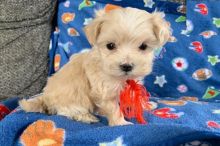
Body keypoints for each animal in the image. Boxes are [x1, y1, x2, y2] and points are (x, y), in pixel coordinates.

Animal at [19, 7, 172, 125]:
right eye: (110, 46)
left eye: (143, 46)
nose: (126, 66)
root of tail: (45, 98)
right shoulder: (104, 90)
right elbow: (114, 109)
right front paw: (121, 123)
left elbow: (133, 95)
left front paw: (145, 104)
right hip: (70, 100)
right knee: (67, 110)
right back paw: (86, 116)